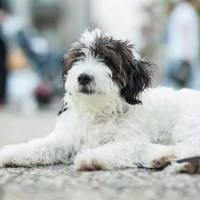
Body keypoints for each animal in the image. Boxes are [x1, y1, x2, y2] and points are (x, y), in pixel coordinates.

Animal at [1, 28, 200, 173]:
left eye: (107, 61)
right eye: (78, 59)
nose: (83, 77)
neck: (98, 111)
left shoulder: (132, 140)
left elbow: (119, 148)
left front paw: (91, 158)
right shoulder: (66, 137)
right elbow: (40, 145)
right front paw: (10, 153)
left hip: (186, 124)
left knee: (191, 148)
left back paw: (174, 161)